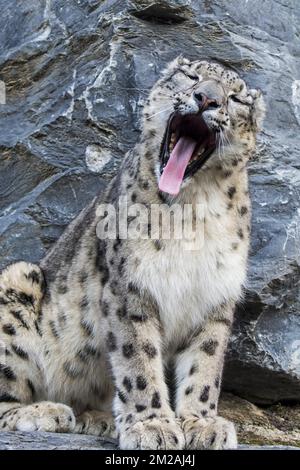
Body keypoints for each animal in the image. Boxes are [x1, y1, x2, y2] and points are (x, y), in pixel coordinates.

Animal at [0, 57, 264, 450]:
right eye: (192, 77)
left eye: (235, 98)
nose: (206, 99)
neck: (195, 204)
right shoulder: (130, 288)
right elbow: (138, 360)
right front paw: (152, 426)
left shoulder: (215, 296)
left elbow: (205, 365)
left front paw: (202, 423)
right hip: (16, 282)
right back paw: (48, 411)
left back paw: (96, 418)